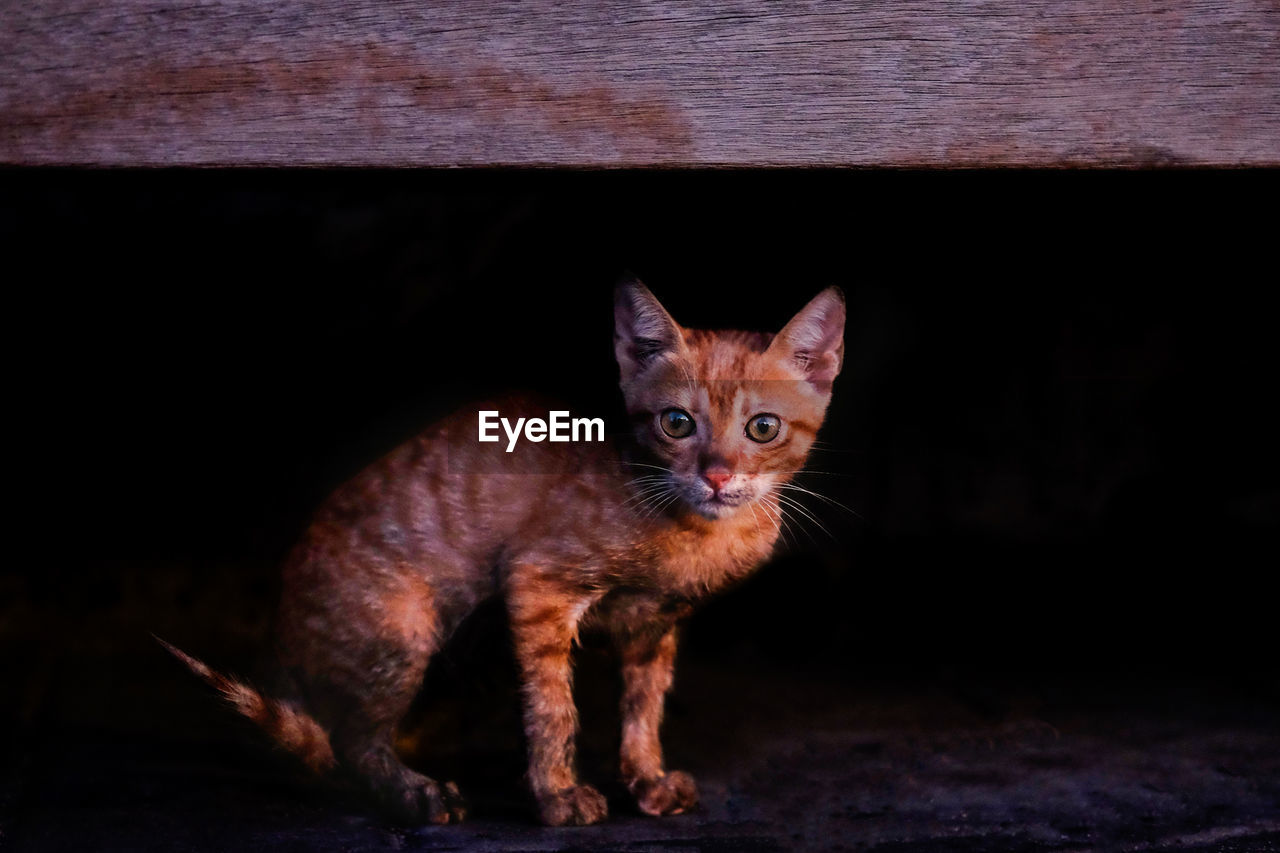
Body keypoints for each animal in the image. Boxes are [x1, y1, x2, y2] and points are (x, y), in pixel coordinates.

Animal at [160, 275, 844, 819]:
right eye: (677, 423)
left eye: (763, 428)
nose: (719, 475)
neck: (699, 533)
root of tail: (277, 632)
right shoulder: (536, 584)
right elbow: (552, 708)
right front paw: (559, 796)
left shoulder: (653, 628)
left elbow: (643, 707)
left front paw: (645, 781)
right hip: (406, 628)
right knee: (350, 740)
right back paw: (418, 794)